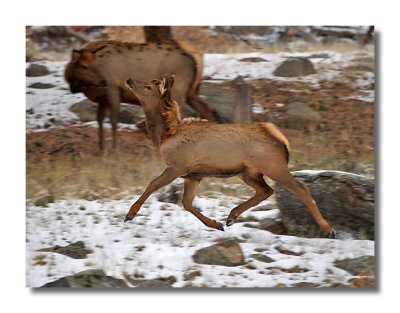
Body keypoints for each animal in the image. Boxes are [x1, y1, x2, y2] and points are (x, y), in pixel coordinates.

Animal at [64, 40, 214, 150]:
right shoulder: (102, 99)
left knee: (184, 114)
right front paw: (101, 151)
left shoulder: (114, 89)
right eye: (84, 66)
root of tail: (194, 60)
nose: (103, 81)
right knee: (206, 109)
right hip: (190, 91)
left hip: (178, 90)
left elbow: (113, 121)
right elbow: (100, 121)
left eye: (96, 64)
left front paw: (114, 151)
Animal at [123, 74, 336, 238]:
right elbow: (186, 203)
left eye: (149, 86)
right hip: (247, 172)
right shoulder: (193, 175)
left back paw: (329, 229)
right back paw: (231, 217)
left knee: (301, 188)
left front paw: (130, 214)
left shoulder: (178, 165)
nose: (129, 79)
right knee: (266, 191)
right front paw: (216, 224)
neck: (166, 136)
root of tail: (282, 139)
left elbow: (153, 184)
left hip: (273, 165)